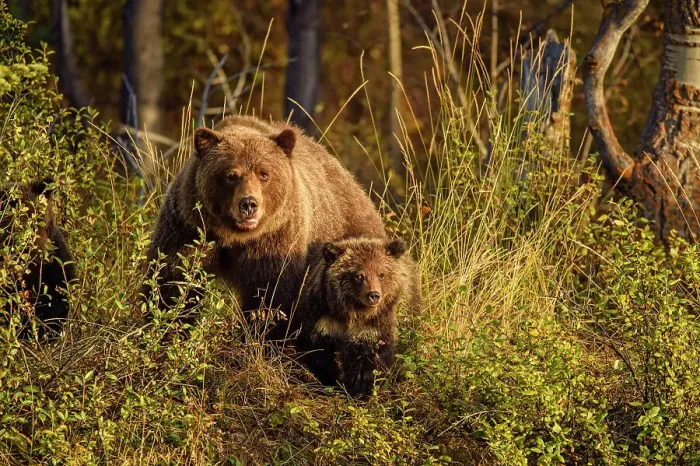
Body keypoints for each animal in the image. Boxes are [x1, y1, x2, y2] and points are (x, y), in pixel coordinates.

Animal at [142, 115, 386, 337]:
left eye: (264, 174)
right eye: (231, 175)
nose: (249, 204)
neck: (233, 236)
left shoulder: (276, 240)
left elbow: (269, 295)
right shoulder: (189, 228)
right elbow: (172, 282)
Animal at [294, 237, 420, 397]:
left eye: (381, 274)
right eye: (359, 275)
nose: (373, 295)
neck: (352, 312)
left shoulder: (371, 327)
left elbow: (369, 359)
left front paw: (359, 390)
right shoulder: (323, 318)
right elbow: (319, 352)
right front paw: (333, 381)